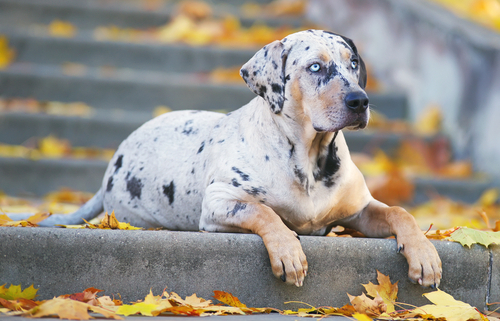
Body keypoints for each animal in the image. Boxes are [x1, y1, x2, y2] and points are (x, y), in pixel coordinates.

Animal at [12, 29, 442, 284]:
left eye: (353, 63)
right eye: (315, 66)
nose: (359, 101)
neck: (310, 159)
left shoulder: (360, 210)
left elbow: (400, 212)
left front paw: (424, 254)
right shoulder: (220, 203)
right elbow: (264, 212)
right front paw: (288, 251)